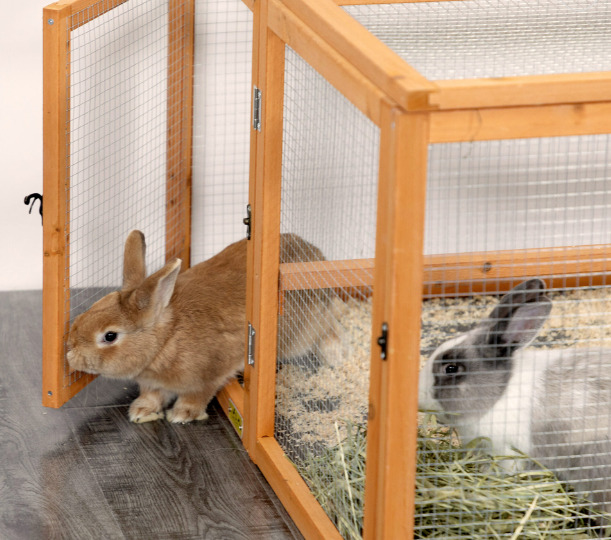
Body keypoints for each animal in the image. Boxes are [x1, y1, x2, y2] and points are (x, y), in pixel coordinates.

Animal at [67, 230, 334, 424]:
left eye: (110, 336)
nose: (69, 353)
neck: (165, 341)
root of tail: (317, 253)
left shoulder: (210, 374)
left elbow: (197, 395)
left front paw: (182, 414)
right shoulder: (153, 384)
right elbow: (151, 395)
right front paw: (141, 411)